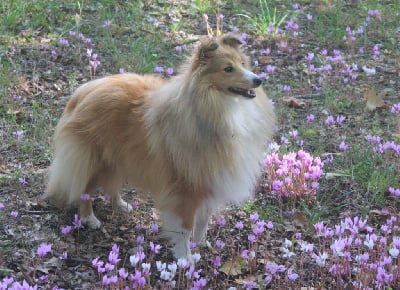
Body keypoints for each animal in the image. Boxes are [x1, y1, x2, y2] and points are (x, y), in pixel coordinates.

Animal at [44, 35, 276, 260]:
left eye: (243, 64)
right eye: (228, 69)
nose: (259, 80)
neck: (219, 106)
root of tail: (85, 91)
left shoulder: (210, 180)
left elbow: (203, 221)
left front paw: (200, 244)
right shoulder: (187, 188)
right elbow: (186, 227)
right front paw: (185, 258)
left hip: (119, 158)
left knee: (112, 185)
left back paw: (121, 205)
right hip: (95, 159)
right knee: (84, 189)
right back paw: (89, 218)